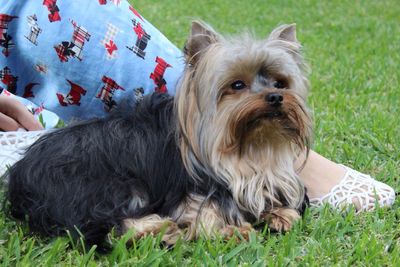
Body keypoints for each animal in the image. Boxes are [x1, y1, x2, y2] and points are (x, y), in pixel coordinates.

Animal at [5, 21, 312, 249]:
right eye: (237, 84)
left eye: (280, 83)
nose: (275, 97)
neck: (250, 145)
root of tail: (20, 181)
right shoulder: (189, 185)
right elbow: (203, 209)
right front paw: (230, 230)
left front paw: (280, 213)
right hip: (105, 184)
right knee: (99, 224)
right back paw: (159, 228)